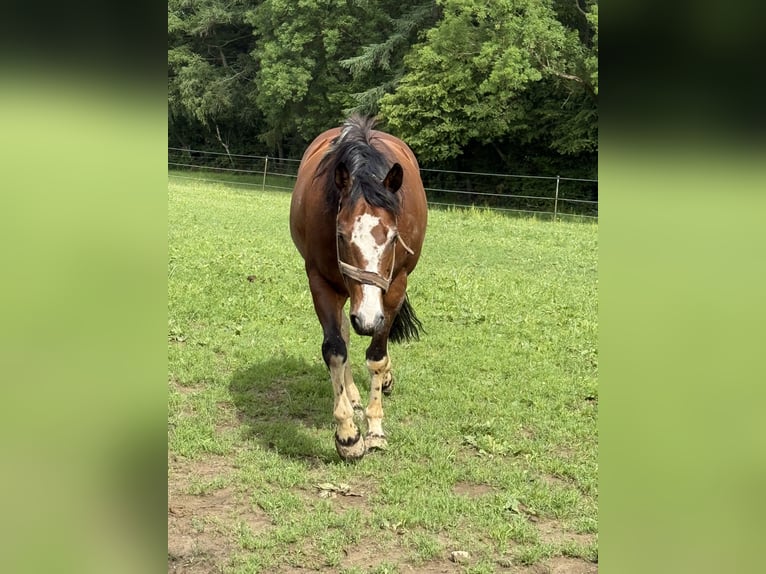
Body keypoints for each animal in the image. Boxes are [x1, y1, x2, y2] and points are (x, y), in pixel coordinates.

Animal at [289, 115, 428, 461]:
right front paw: (348, 435)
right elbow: (335, 349)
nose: (366, 319)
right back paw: (352, 394)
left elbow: (377, 355)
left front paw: (375, 428)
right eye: (341, 234)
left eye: (393, 237)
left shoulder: (394, 286)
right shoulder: (321, 283)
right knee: (344, 332)